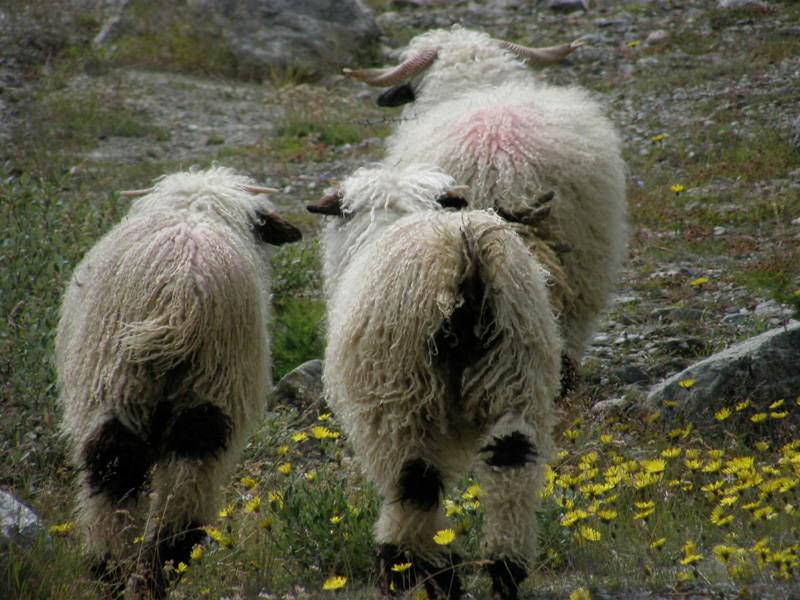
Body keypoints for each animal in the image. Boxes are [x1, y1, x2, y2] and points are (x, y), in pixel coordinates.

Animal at [53, 166, 302, 596]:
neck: (196, 212)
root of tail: (182, 291)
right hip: (209, 391)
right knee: (185, 480)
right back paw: (154, 573)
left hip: (118, 384)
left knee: (114, 468)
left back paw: (114, 572)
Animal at [306, 164, 564, 600]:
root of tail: (467, 257)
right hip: (516, 374)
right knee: (512, 468)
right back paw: (505, 569)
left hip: (402, 393)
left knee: (414, 483)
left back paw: (408, 568)